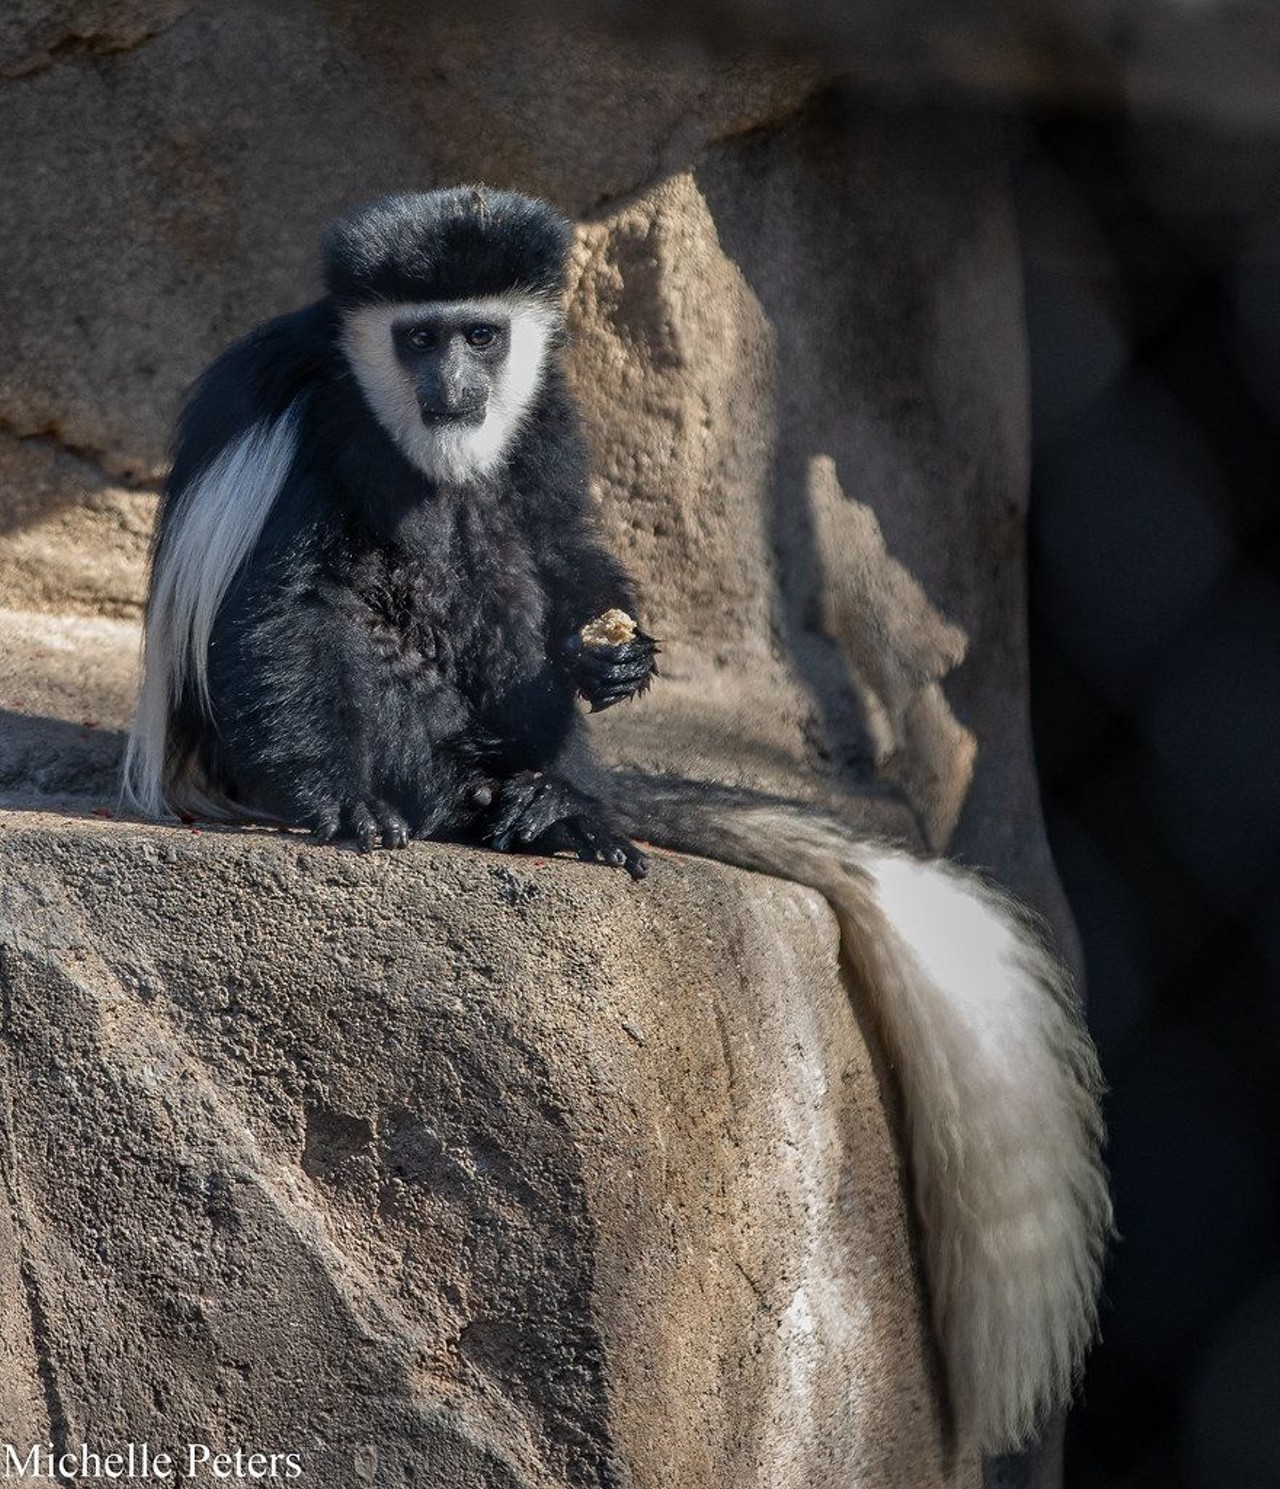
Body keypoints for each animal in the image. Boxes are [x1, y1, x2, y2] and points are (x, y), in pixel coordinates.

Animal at [122, 183, 1107, 1453]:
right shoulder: (312, 423)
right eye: (418, 336)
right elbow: (282, 608)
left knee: (495, 533)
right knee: (390, 561)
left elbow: (558, 541)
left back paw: (553, 806)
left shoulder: (545, 415)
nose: (453, 383)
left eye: (480, 334)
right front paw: (339, 803)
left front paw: (615, 653)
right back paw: (449, 799)